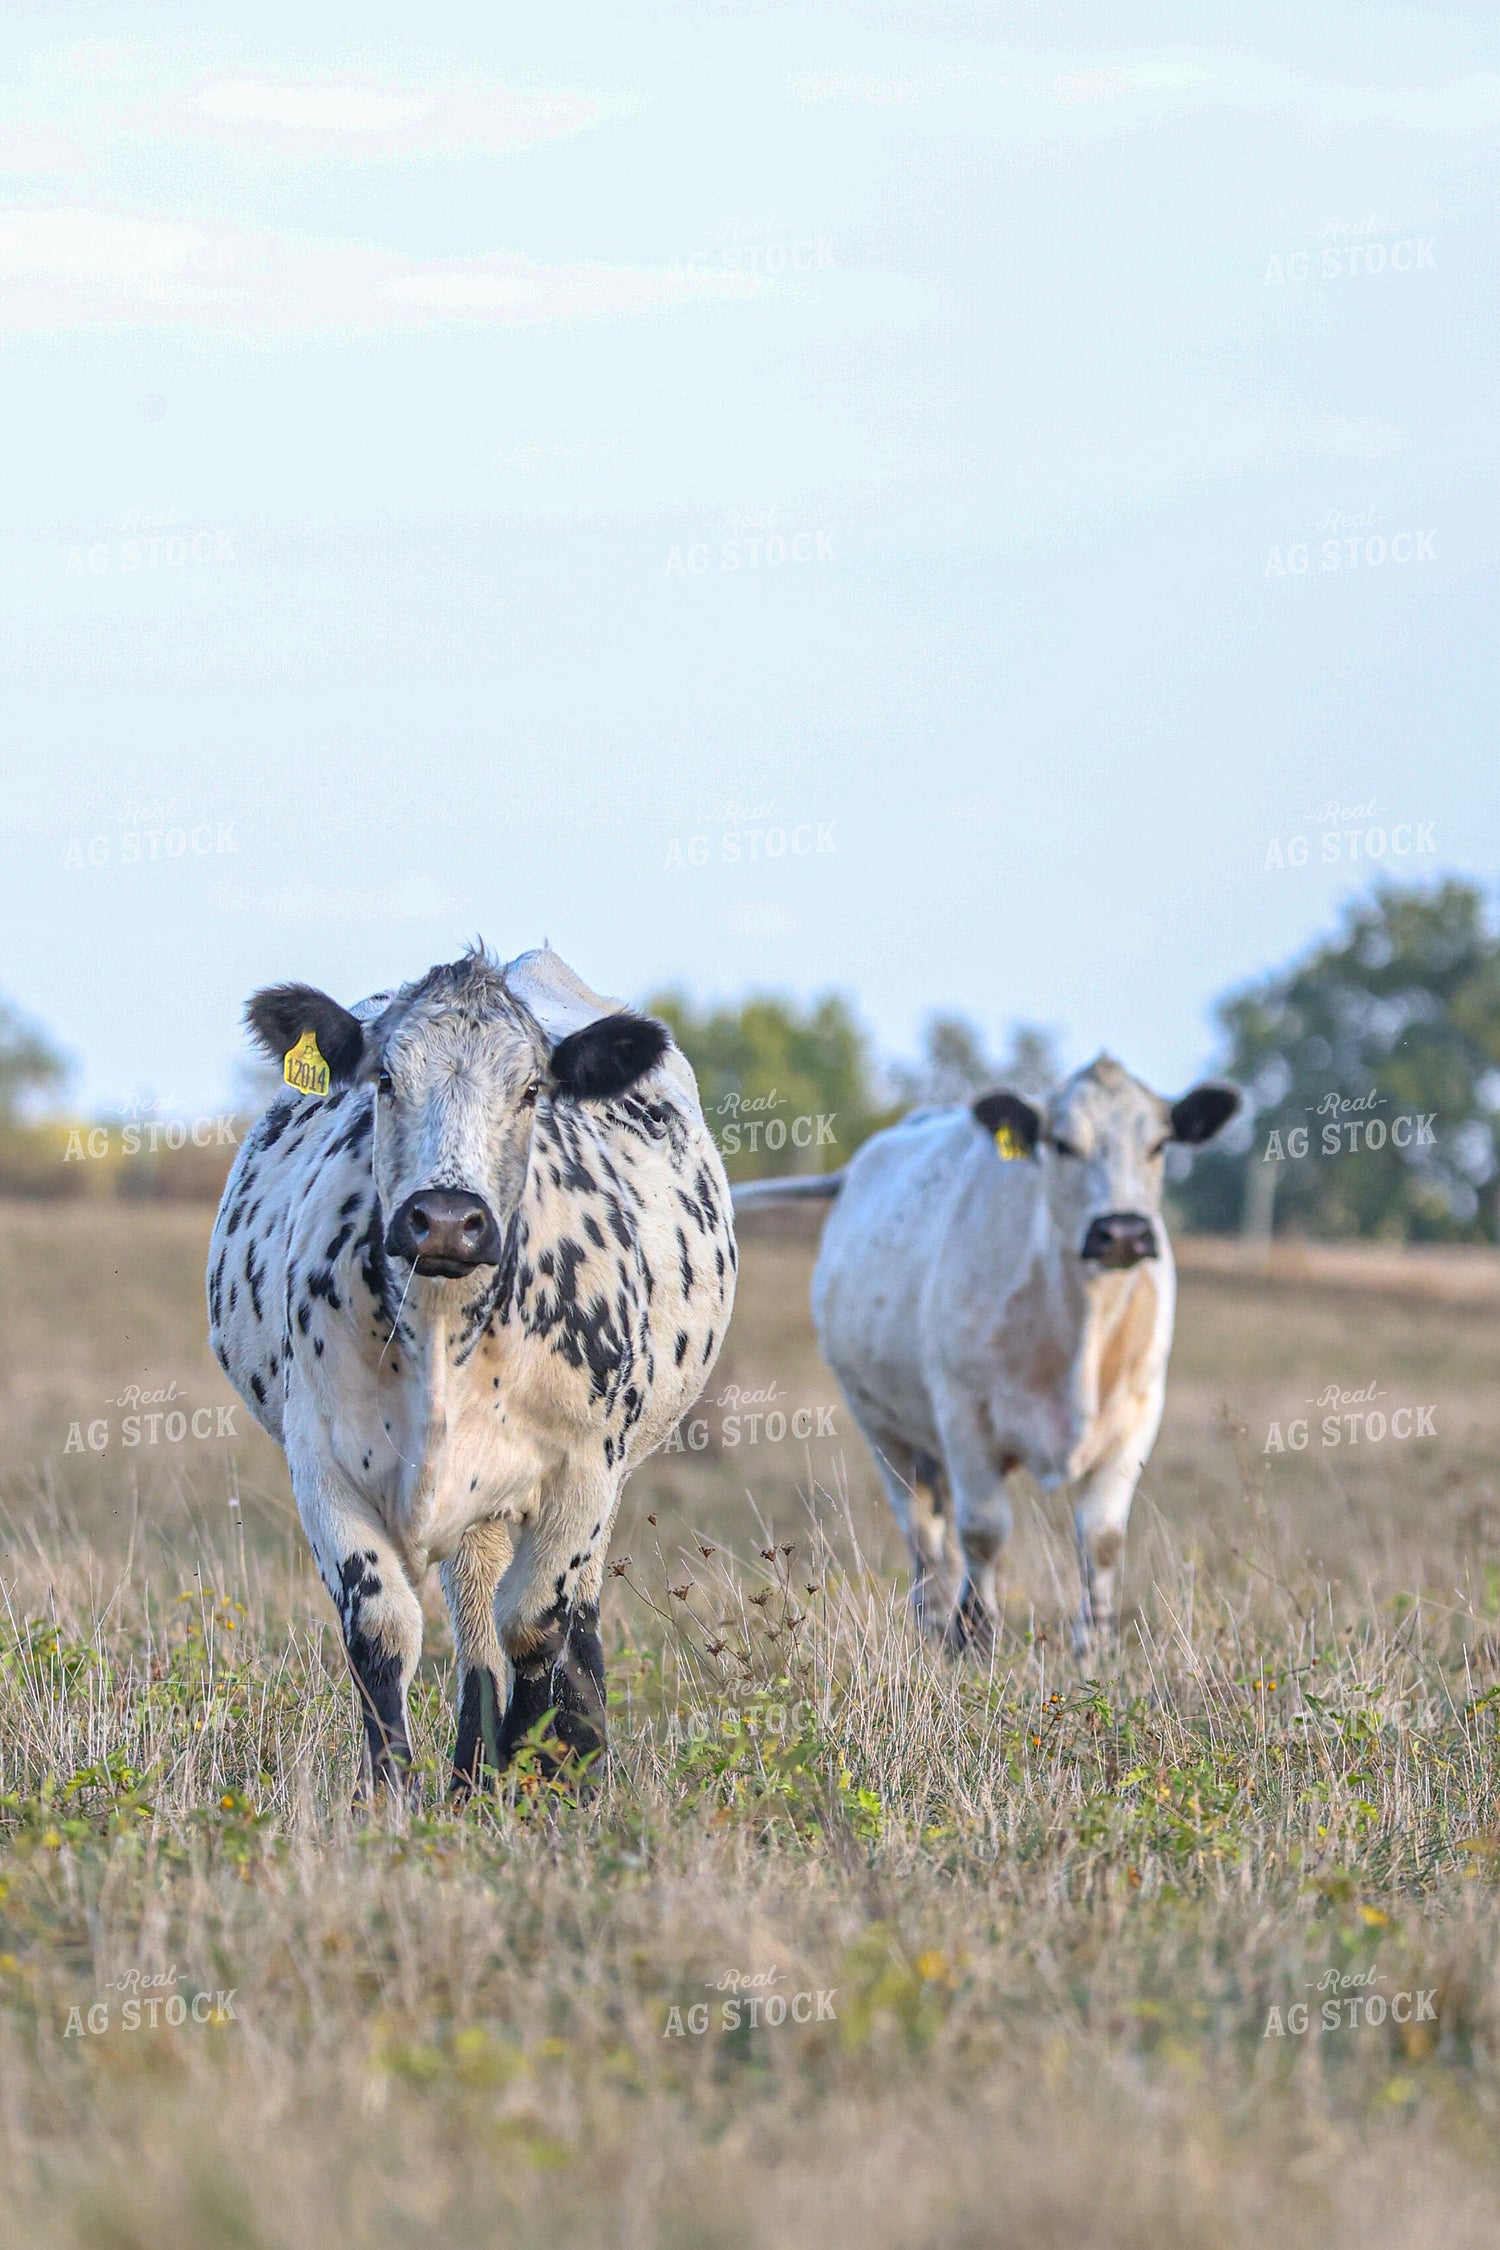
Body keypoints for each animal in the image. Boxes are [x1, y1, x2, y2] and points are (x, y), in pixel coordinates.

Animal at [207, 945, 736, 1797]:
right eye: (385, 1079)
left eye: (531, 1090)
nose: (448, 1220)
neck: (442, 1324)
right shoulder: (320, 1457)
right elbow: (383, 1627)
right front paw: (392, 1797)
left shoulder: (583, 1469)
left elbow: (539, 1627)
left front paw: (540, 1784)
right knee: (477, 1612)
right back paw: (470, 1775)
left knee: (565, 1615)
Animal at [737, 1056, 1239, 1656]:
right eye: (1061, 1144)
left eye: (1160, 1145)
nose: (1121, 1232)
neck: (1080, 1327)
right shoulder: (964, 1414)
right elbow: (984, 1530)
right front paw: (974, 1635)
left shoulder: (1139, 1414)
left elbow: (1102, 1537)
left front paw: (1095, 1643)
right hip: (882, 1425)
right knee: (923, 1527)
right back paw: (933, 1619)